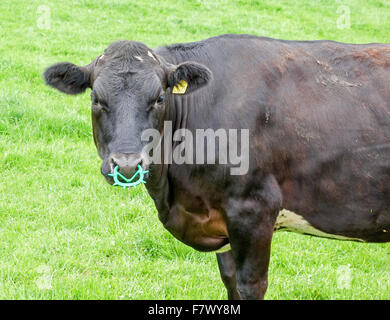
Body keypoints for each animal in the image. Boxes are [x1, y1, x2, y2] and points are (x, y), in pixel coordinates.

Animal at [43, 35, 390, 300]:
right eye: (97, 99)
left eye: (158, 98)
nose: (127, 165)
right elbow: (230, 281)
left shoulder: (254, 210)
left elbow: (251, 286)